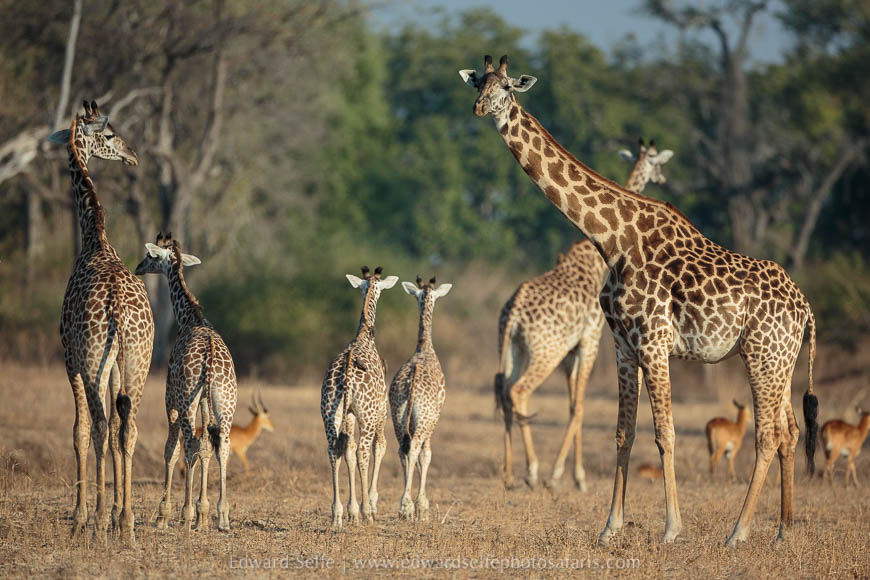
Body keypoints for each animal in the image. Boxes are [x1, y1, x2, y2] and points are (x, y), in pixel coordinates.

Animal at [134, 233, 237, 532]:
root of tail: (210, 359)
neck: (189, 318)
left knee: (189, 442)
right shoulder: (204, 400)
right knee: (222, 444)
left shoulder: (172, 398)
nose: (138, 267)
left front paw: (167, 513)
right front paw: (201, 512)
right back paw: (222, 516)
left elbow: (172, 448)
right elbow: (205, 448)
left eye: (151, 256)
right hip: (225, 400)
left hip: (186, 399)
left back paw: (189, 514)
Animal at [321, 266, 398, 529]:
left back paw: (337, 514)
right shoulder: (380, 412)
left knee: (334, 451)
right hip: (368, 414)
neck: (364, 334)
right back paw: (365, 513)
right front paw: (370, 505)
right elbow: (380, 447)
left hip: (330, 413)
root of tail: (345, 375)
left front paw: (351, 511)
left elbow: (348, 451)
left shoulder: (349, 415)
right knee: (363, 452)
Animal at [390, 275, 452, 521]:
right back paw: (406, 506)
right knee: (415, 447)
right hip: (425, 417)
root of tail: (411, 384)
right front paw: (422, 506)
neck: (424, 346)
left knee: (402, 448)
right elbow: (426, 455)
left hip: (397, 416)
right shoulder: (434, 418)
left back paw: (404, 505)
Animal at [495, 139, 673, 492]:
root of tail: (513, 314)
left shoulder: (572, 350)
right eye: (657, 163)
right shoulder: (590, 338)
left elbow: (572, 404)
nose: (662, 178)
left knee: (504, 392)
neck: (596, 254)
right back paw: (532, 471)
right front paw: (563, 476)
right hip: (545, 352)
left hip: (513, 349)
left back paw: (508, 475)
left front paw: (574, 476)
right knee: (518, 392)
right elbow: (579, 407)